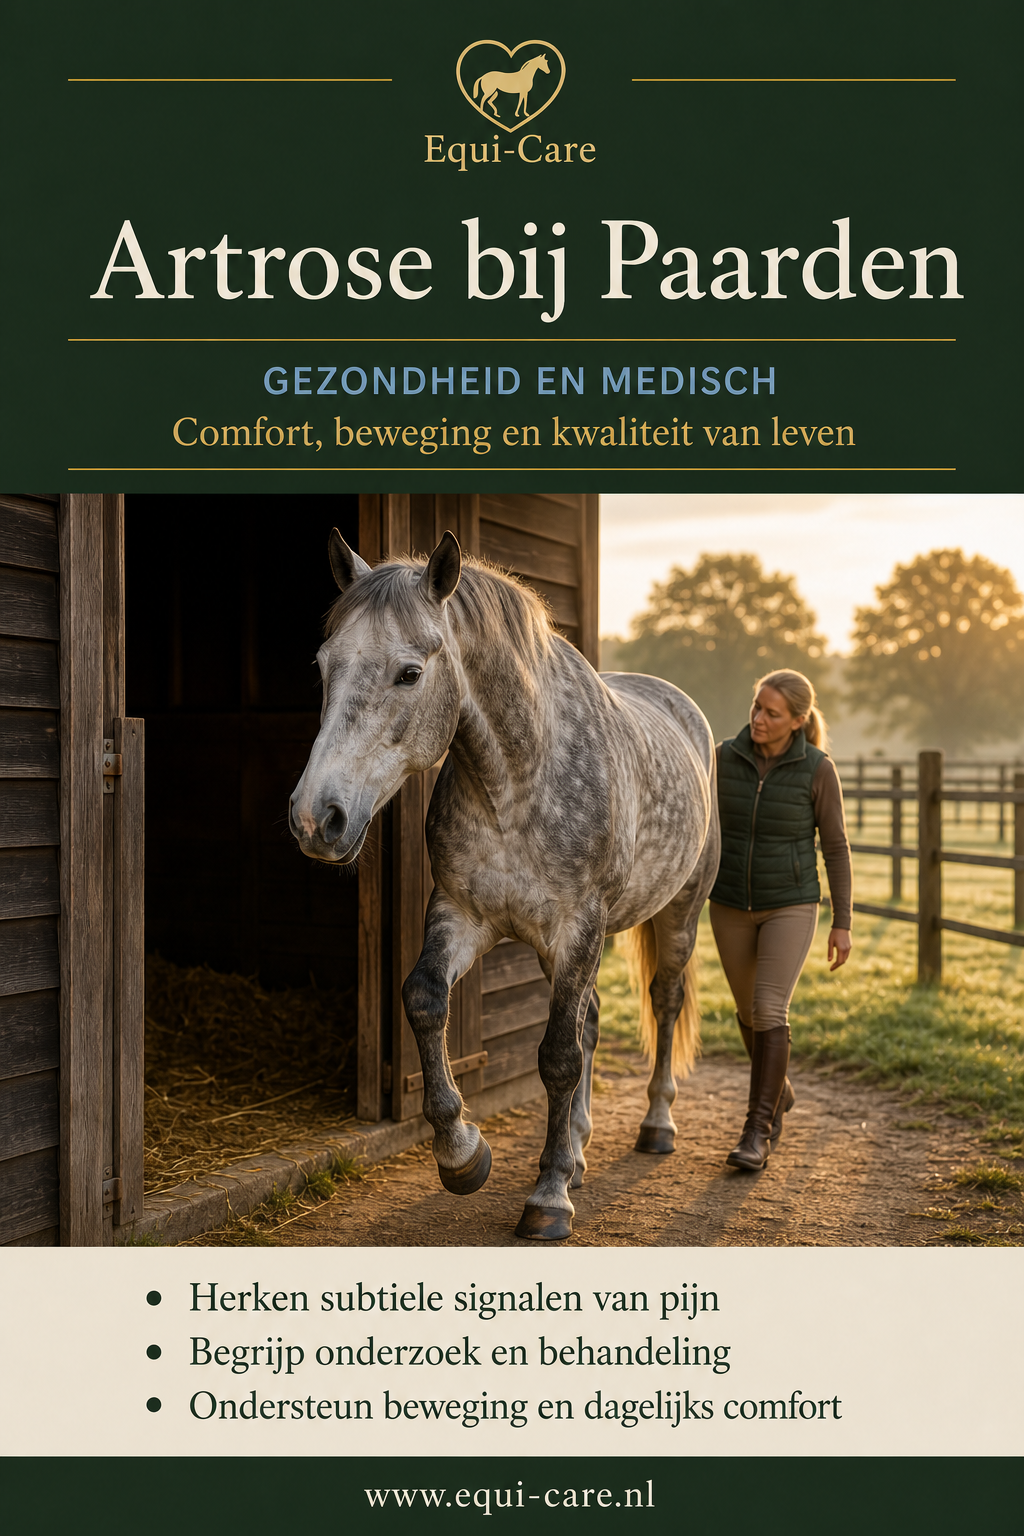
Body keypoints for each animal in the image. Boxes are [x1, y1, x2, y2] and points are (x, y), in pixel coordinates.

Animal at [289, 532, 720, 1241]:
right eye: (325, 665)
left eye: (410, 673)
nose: (315, 818)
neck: (517, 782)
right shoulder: (462, 914)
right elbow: (425, 1000)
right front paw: (463, 1155)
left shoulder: (577, 929)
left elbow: (558, 1058)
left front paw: (548, 1199)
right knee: (590, 1021)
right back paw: (577, 1149)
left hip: (677, 915)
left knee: (663, 1003)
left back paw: (655, 1126)